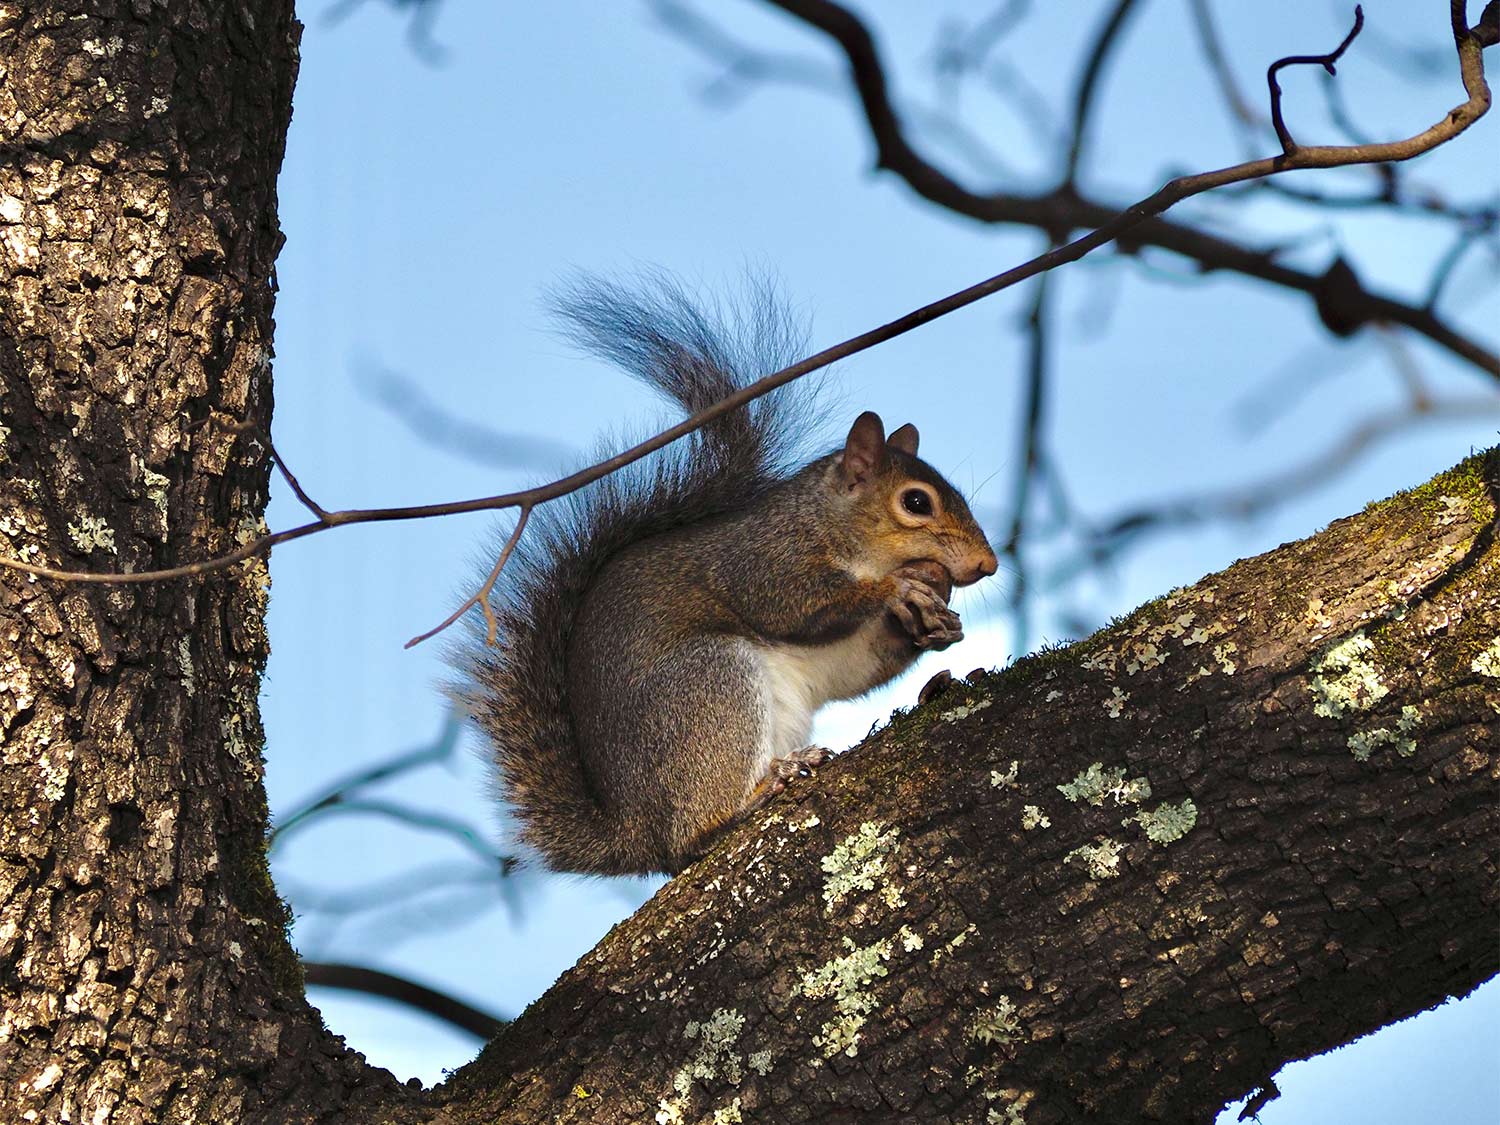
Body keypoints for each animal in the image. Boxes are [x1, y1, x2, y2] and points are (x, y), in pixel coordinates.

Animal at [456, 277, 996, 876]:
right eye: (916, 502)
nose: (986, 565)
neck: (826, 521)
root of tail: (634, 832)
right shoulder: (763, 560)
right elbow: (795, 605)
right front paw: (901, 588)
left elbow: (855, 666)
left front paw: (933, 621)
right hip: (707, 688)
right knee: (695, 830)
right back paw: (763, 788)